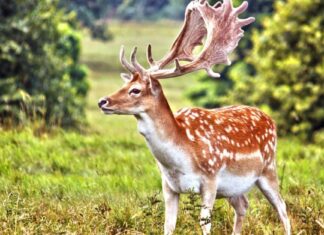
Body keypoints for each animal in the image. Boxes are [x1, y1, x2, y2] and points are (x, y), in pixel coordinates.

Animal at [98, 0, 292, 234]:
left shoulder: (210, 178)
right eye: (124, 84)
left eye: (135, 90)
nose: (102, 101)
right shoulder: (168, 186)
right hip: (234, 188)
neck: (180, 158)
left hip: (268, 168)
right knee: (244, 205)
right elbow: (168, 225)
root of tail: (270, 119)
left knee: (282, 207)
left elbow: (205, 223)